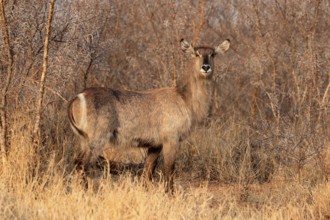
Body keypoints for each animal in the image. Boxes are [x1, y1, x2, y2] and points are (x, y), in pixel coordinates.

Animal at [68, 38, 231, 192]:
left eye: (212, 54)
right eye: (196, 54)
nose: (206, 67)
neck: (185, 99)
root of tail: (78, 97)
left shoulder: (155, 145)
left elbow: (148, 172)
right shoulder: (171, 139)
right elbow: (169, 169)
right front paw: (170, 195)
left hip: (84, 140)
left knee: (77, 161)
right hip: (97, 139)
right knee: (82, 164)